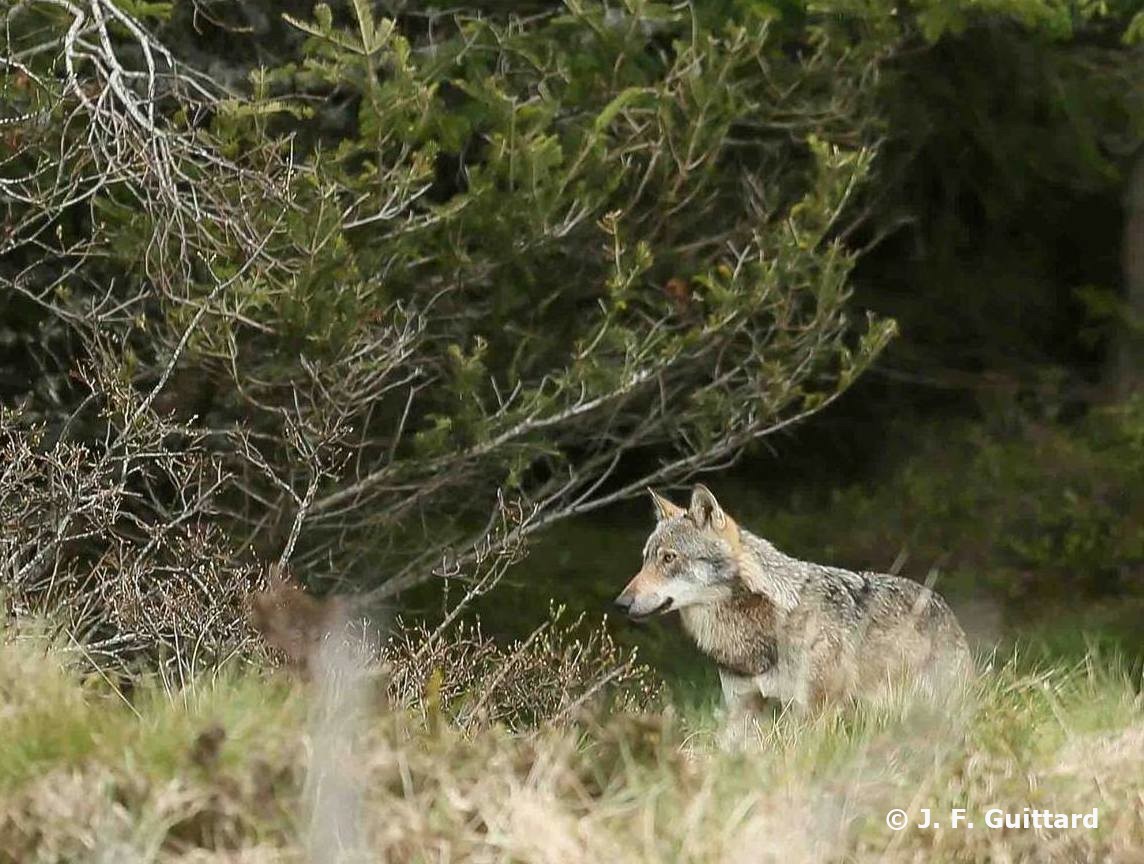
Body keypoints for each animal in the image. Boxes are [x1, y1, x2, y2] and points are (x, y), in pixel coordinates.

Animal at [613, 487, 970, 718]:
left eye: (669, 558)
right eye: (645, 560)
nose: (620, 603)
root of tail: (941, 603)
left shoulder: (814, 711)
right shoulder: (743, 709)